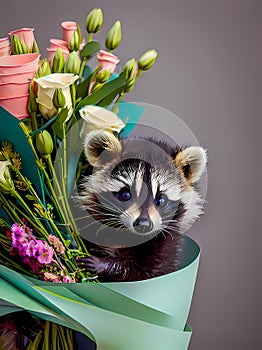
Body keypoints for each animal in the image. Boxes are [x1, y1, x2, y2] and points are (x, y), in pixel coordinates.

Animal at [76, 126, 207, 282]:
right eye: (126, 195)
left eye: (161, 200)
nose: (144, 224)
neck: (129, 235)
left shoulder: (166, 247)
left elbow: (142, 272)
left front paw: (104, 265)